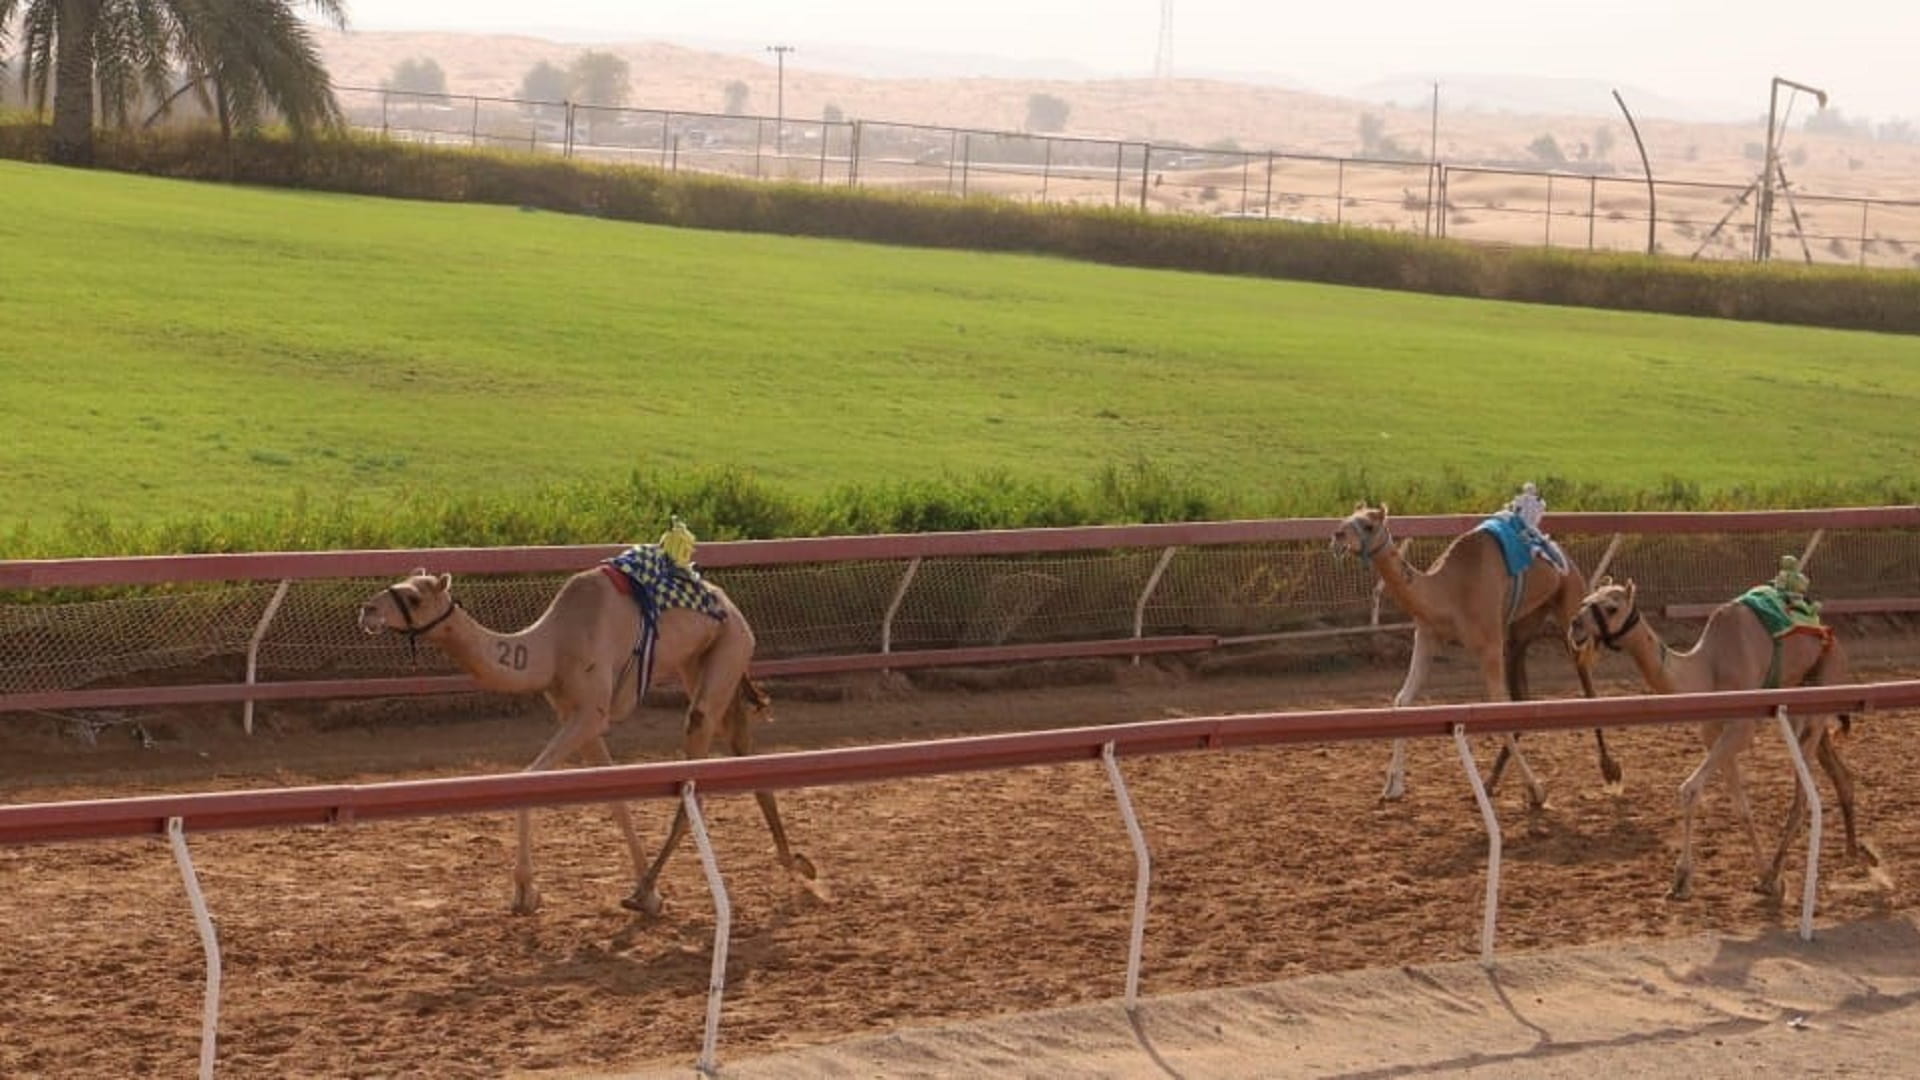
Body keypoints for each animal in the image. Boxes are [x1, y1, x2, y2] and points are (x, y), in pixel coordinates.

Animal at [358, 555, 821, 916]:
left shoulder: (590, 712)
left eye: (414, 598)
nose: (367, 610)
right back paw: (797, 864)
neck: (550, 646)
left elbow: (528, 779)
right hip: (701, 663)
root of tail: (730, 604)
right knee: (745, 755)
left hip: (730, 647)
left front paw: (526, 892)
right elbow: (614, 799)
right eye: (396, 583)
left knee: (699, 768)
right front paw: (652, 895)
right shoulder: (576, 716)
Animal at [1331, 504, 1619, 804]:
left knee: (1587, 686)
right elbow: (1403, 701)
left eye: (1368, 525)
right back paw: (1491, 782)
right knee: (1523, 696)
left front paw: (1537, 789)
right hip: (1520, 628)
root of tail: (1563, 555)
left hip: (1570, 609)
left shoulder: (1489, 643)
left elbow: (1497, 708)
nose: (1337, 535)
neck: (1449, 590)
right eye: (1347, 519)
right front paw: (1393, 787)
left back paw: (1609, 768)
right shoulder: (1427, 635)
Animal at [1568, 576, 1868, 899]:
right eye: (1585, 600)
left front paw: (1682, 878)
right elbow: (1742, 808)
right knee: (1841, 775)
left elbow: (1690, 790)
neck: (1707, 670)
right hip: (1805, 702)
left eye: (1611, 607)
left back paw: (1781, 871)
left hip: (1824, 684)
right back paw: (1856, 854)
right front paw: (1761, 873)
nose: (1576, 626)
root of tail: (1830, 636)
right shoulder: (1713, 733)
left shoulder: (1741, 729)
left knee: (1801, 799)